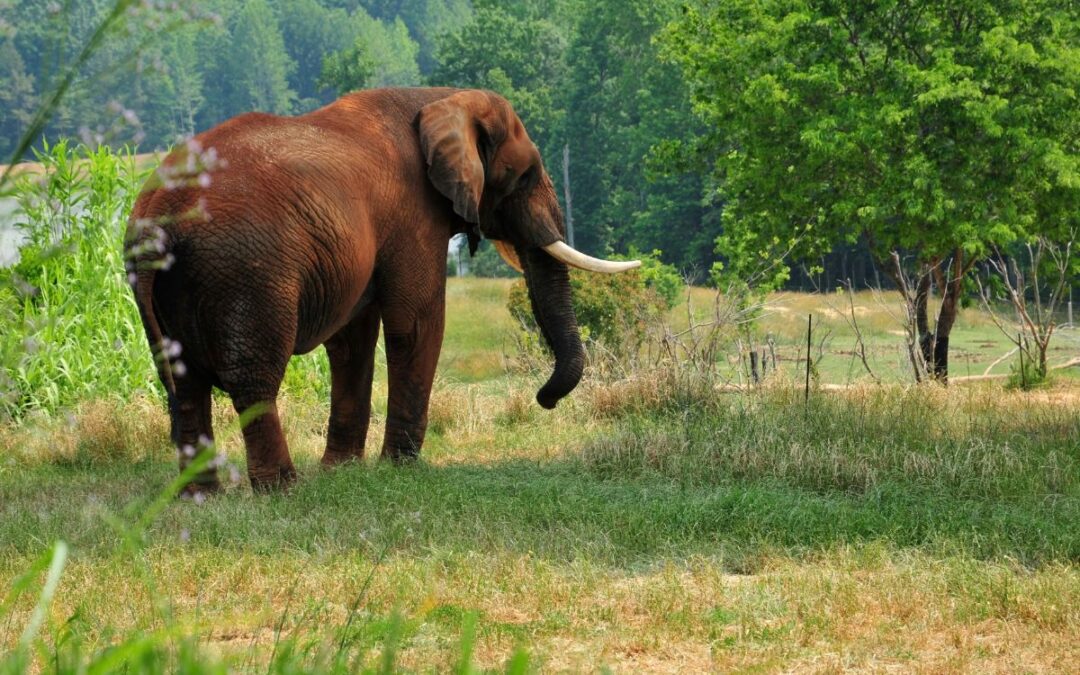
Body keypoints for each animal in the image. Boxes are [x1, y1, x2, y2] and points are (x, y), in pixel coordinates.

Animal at [125, 87, 639, 493]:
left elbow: (352, 341)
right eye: (527, 176)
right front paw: (399, 468)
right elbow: (417, 323)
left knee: (183, 382)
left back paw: (201, 495)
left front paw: (342, 472)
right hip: (249, 272)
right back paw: (282, 489)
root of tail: (159, 212)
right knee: (253, 380)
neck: (441, 98)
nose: (543, 399)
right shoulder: (415, 215)